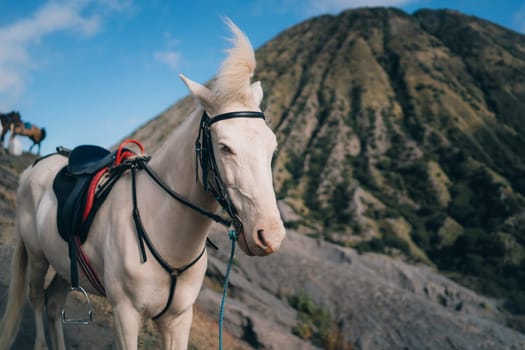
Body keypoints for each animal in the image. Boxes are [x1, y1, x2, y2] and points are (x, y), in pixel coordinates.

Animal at [0, 19, 284, 350]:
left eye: (272, 146)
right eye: (225, 147)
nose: (270, 236)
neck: (167, 233)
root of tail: (37, 166)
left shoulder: (178, 321)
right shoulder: (125, 317)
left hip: (64, 265)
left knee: (53, 304)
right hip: (37, 258)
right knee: (35, 300)